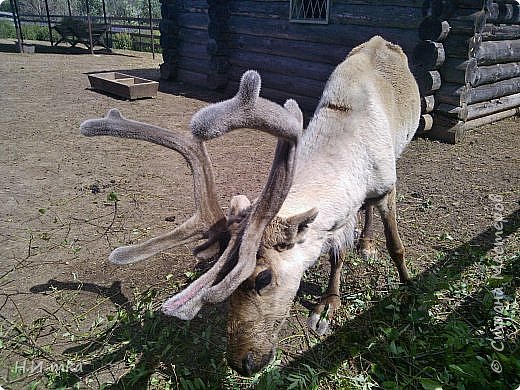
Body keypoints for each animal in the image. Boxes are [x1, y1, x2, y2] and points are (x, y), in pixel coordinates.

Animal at [82, 35, 422, 374]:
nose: (241, 363)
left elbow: (395, 246)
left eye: (263, 277)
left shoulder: (386, 185)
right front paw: (329, 304)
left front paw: (408, 285)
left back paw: (367, 244)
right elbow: (337, 252)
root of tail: (381, 39)